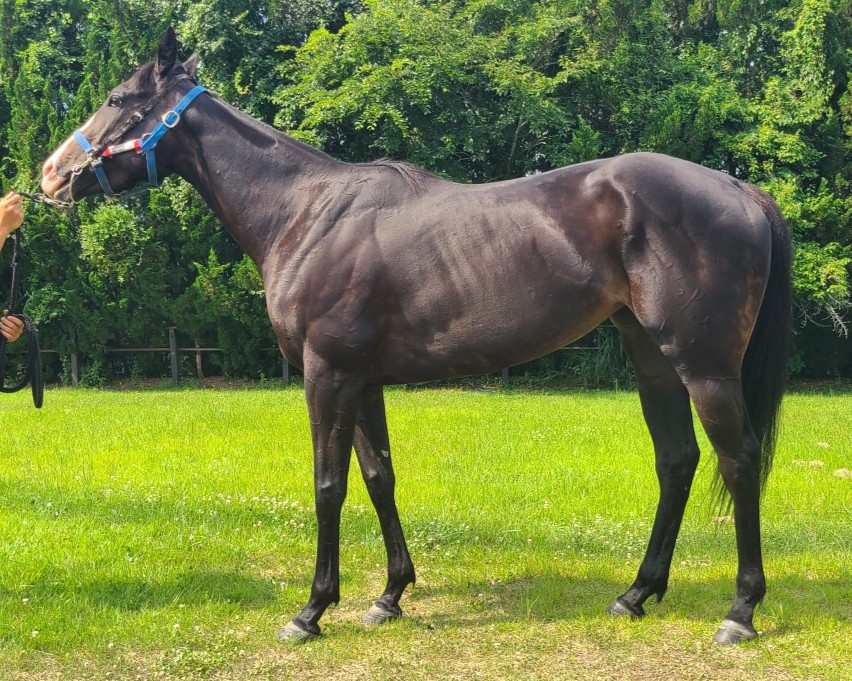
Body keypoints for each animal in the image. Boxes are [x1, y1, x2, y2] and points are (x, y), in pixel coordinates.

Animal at [40, 28, 791, 645]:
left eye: (116, 97)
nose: (50, 174)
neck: (304, 213)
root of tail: (739, 189)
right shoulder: (363, 379)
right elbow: (379, 477)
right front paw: (389, 595)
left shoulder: (328, 374)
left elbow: (328, 485)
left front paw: (312, 610)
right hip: (651, 356)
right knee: (677, 460)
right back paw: (636, 593)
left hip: (703, 365)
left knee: (739, 460)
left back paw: (740, 610)